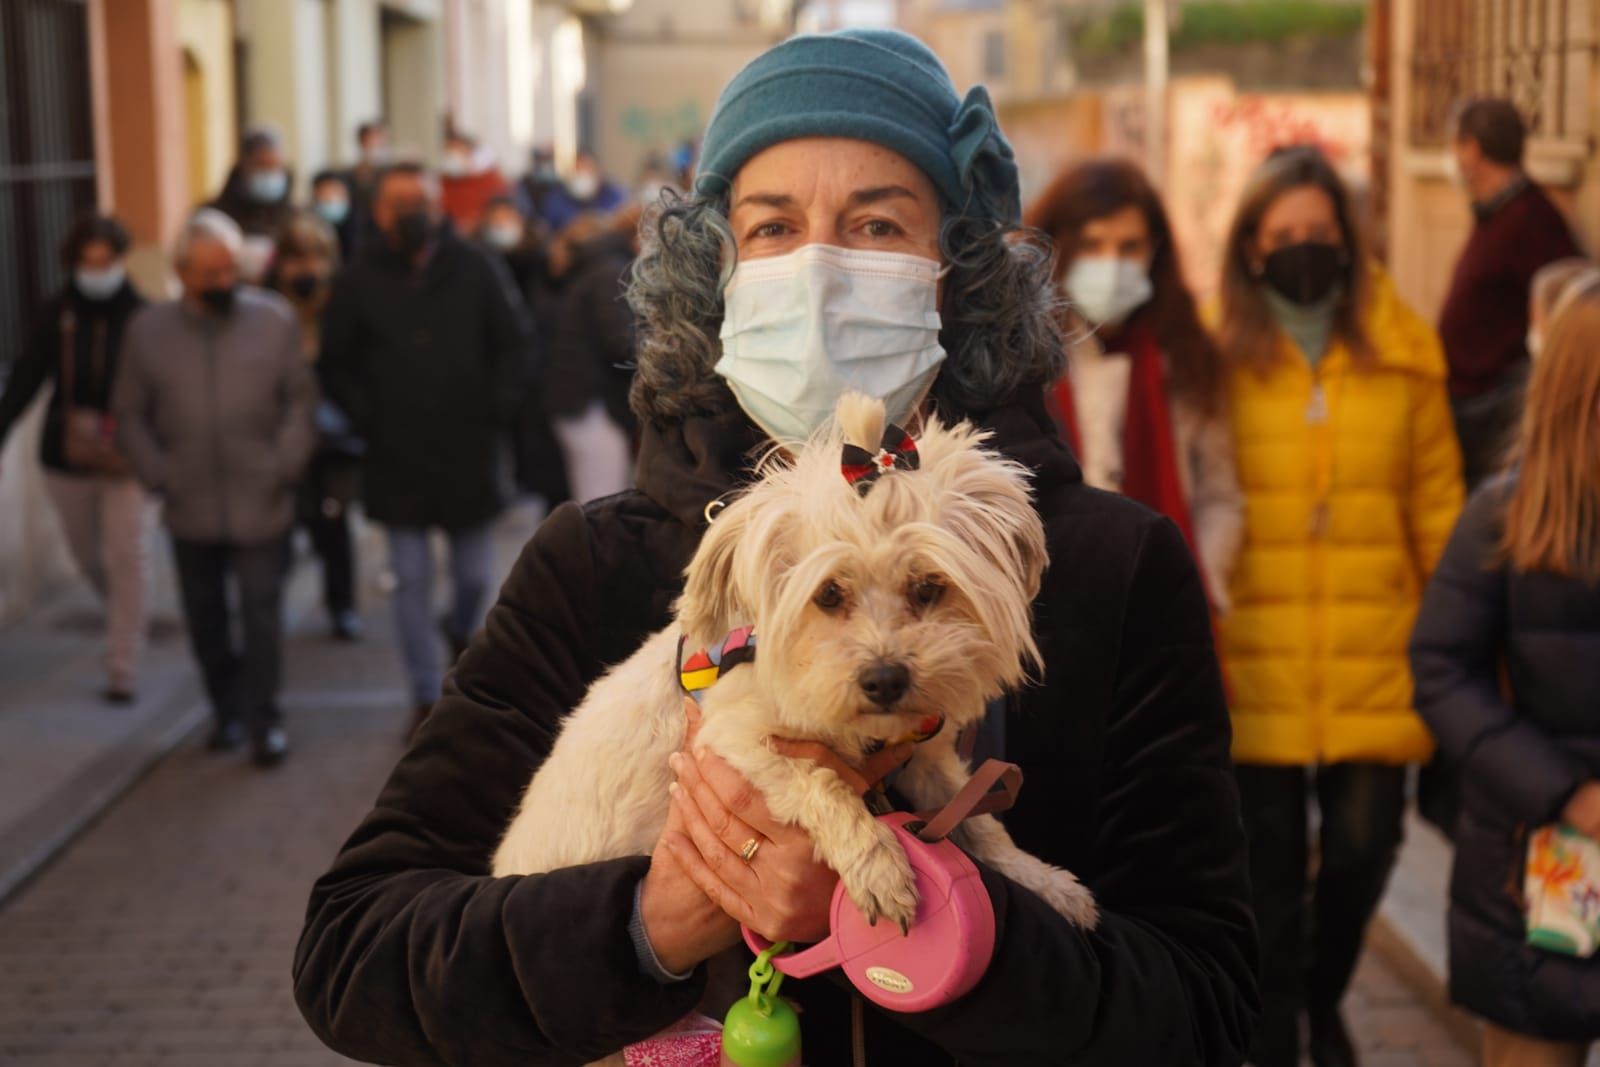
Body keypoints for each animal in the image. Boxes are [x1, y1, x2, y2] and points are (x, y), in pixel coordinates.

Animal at [496, 391, 1100, 934]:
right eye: (828, 594)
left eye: (928, 587)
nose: (885, 680)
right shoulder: (735, 743)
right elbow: (823, 782)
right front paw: (878, 865)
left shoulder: (926, 761)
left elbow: (977, 821)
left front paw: (1044, 881)